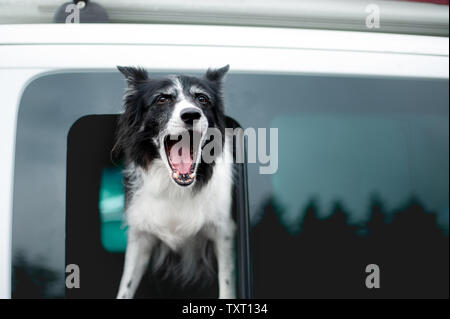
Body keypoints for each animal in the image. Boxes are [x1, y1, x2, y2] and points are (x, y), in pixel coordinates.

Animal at [115, 65, 236, 300]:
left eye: (202, 99)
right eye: (162, 99)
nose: (191, 114)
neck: (176, 187)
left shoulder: (223, 233)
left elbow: (227, 284)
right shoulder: (140, 236)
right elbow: (125, 286)